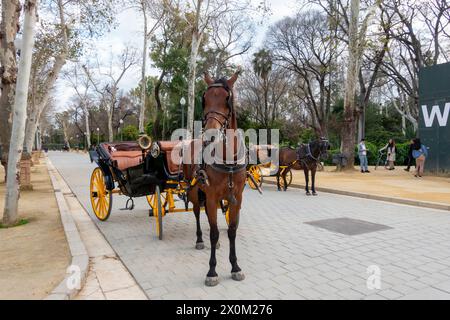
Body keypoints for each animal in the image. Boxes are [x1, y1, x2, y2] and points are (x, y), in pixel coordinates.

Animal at [182, 70, 246, 288]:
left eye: (227, 99)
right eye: (205, 99)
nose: (209, 136)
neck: (227, 160)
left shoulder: (236, 198)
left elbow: (232, 230)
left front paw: (235, 266)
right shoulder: (209, 197)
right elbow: (214, 231)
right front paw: (212, 271)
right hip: (194, 191)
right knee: (196, 213)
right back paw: (199, 239)